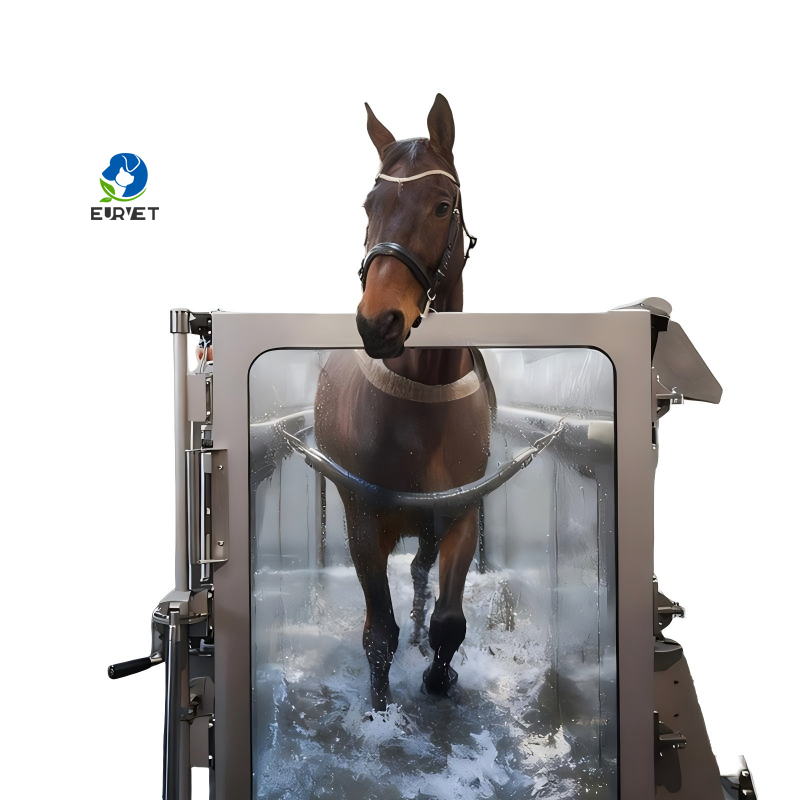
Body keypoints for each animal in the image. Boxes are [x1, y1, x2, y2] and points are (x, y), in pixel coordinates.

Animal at [314, 94, 494, 711]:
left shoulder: (460, 513)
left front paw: (439, 677)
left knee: (419, 574)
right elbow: (378, 634)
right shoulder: (363, 524)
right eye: (370, 204)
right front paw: (379, 709)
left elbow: (449, 621)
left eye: (441, 206)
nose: (379, 321)